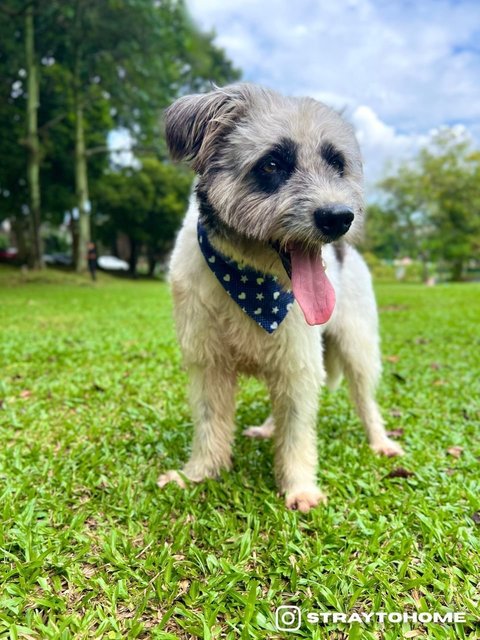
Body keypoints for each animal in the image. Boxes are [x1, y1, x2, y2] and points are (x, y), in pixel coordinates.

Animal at [158, 82, 404, 512]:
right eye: (272, 165)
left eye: (337, 164)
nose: (339, 218)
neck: (252, 279)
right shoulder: (209, 363)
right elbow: (210, 422)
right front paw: (199, 474)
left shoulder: (299, 361)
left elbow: (298, 432)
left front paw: (299, 487)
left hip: (357, 347)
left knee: (365, 400)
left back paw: (381, 441)